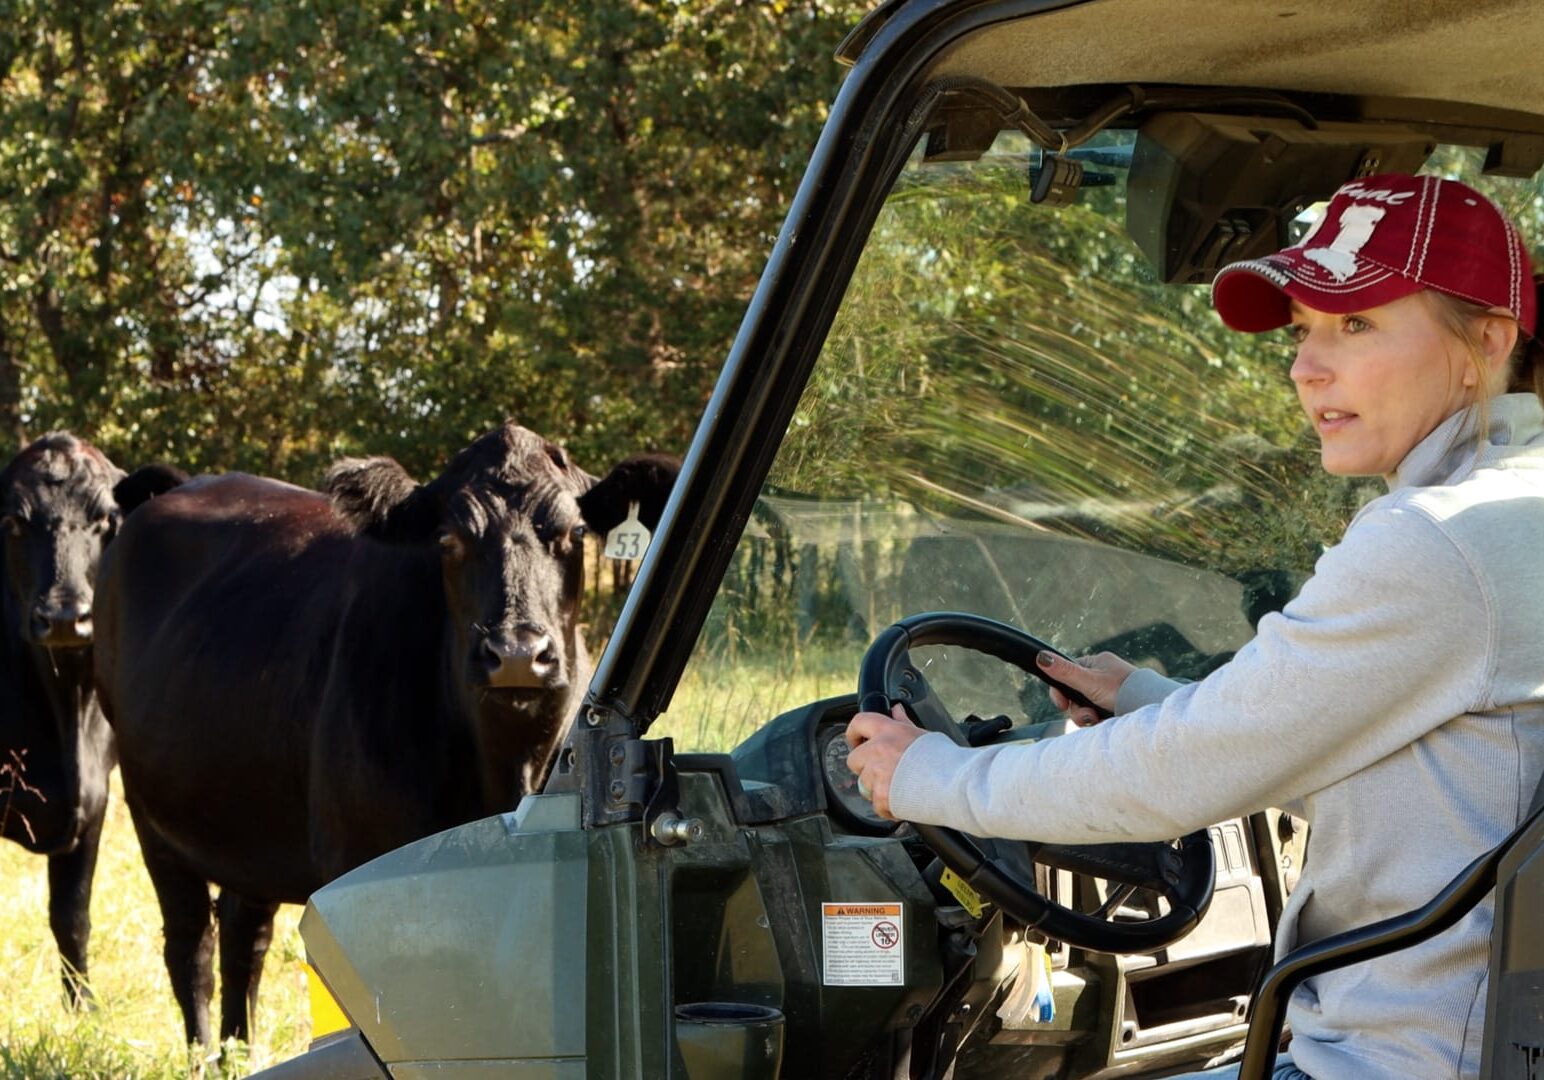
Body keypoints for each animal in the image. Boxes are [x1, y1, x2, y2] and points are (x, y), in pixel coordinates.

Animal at [1, 433, 184, 1007]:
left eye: (106, 519)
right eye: (13, 521)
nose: (63, 617)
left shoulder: (96, 798)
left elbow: (71, 914)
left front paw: (82, 1008)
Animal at [92, 422, 678, 1047]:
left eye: (574, 532)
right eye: (449, 539)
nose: (518, 653)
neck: (505, 762)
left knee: (243, 935)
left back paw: (238, 1049)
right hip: (150, 811)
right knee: (190, 945)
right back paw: (206, 1054)